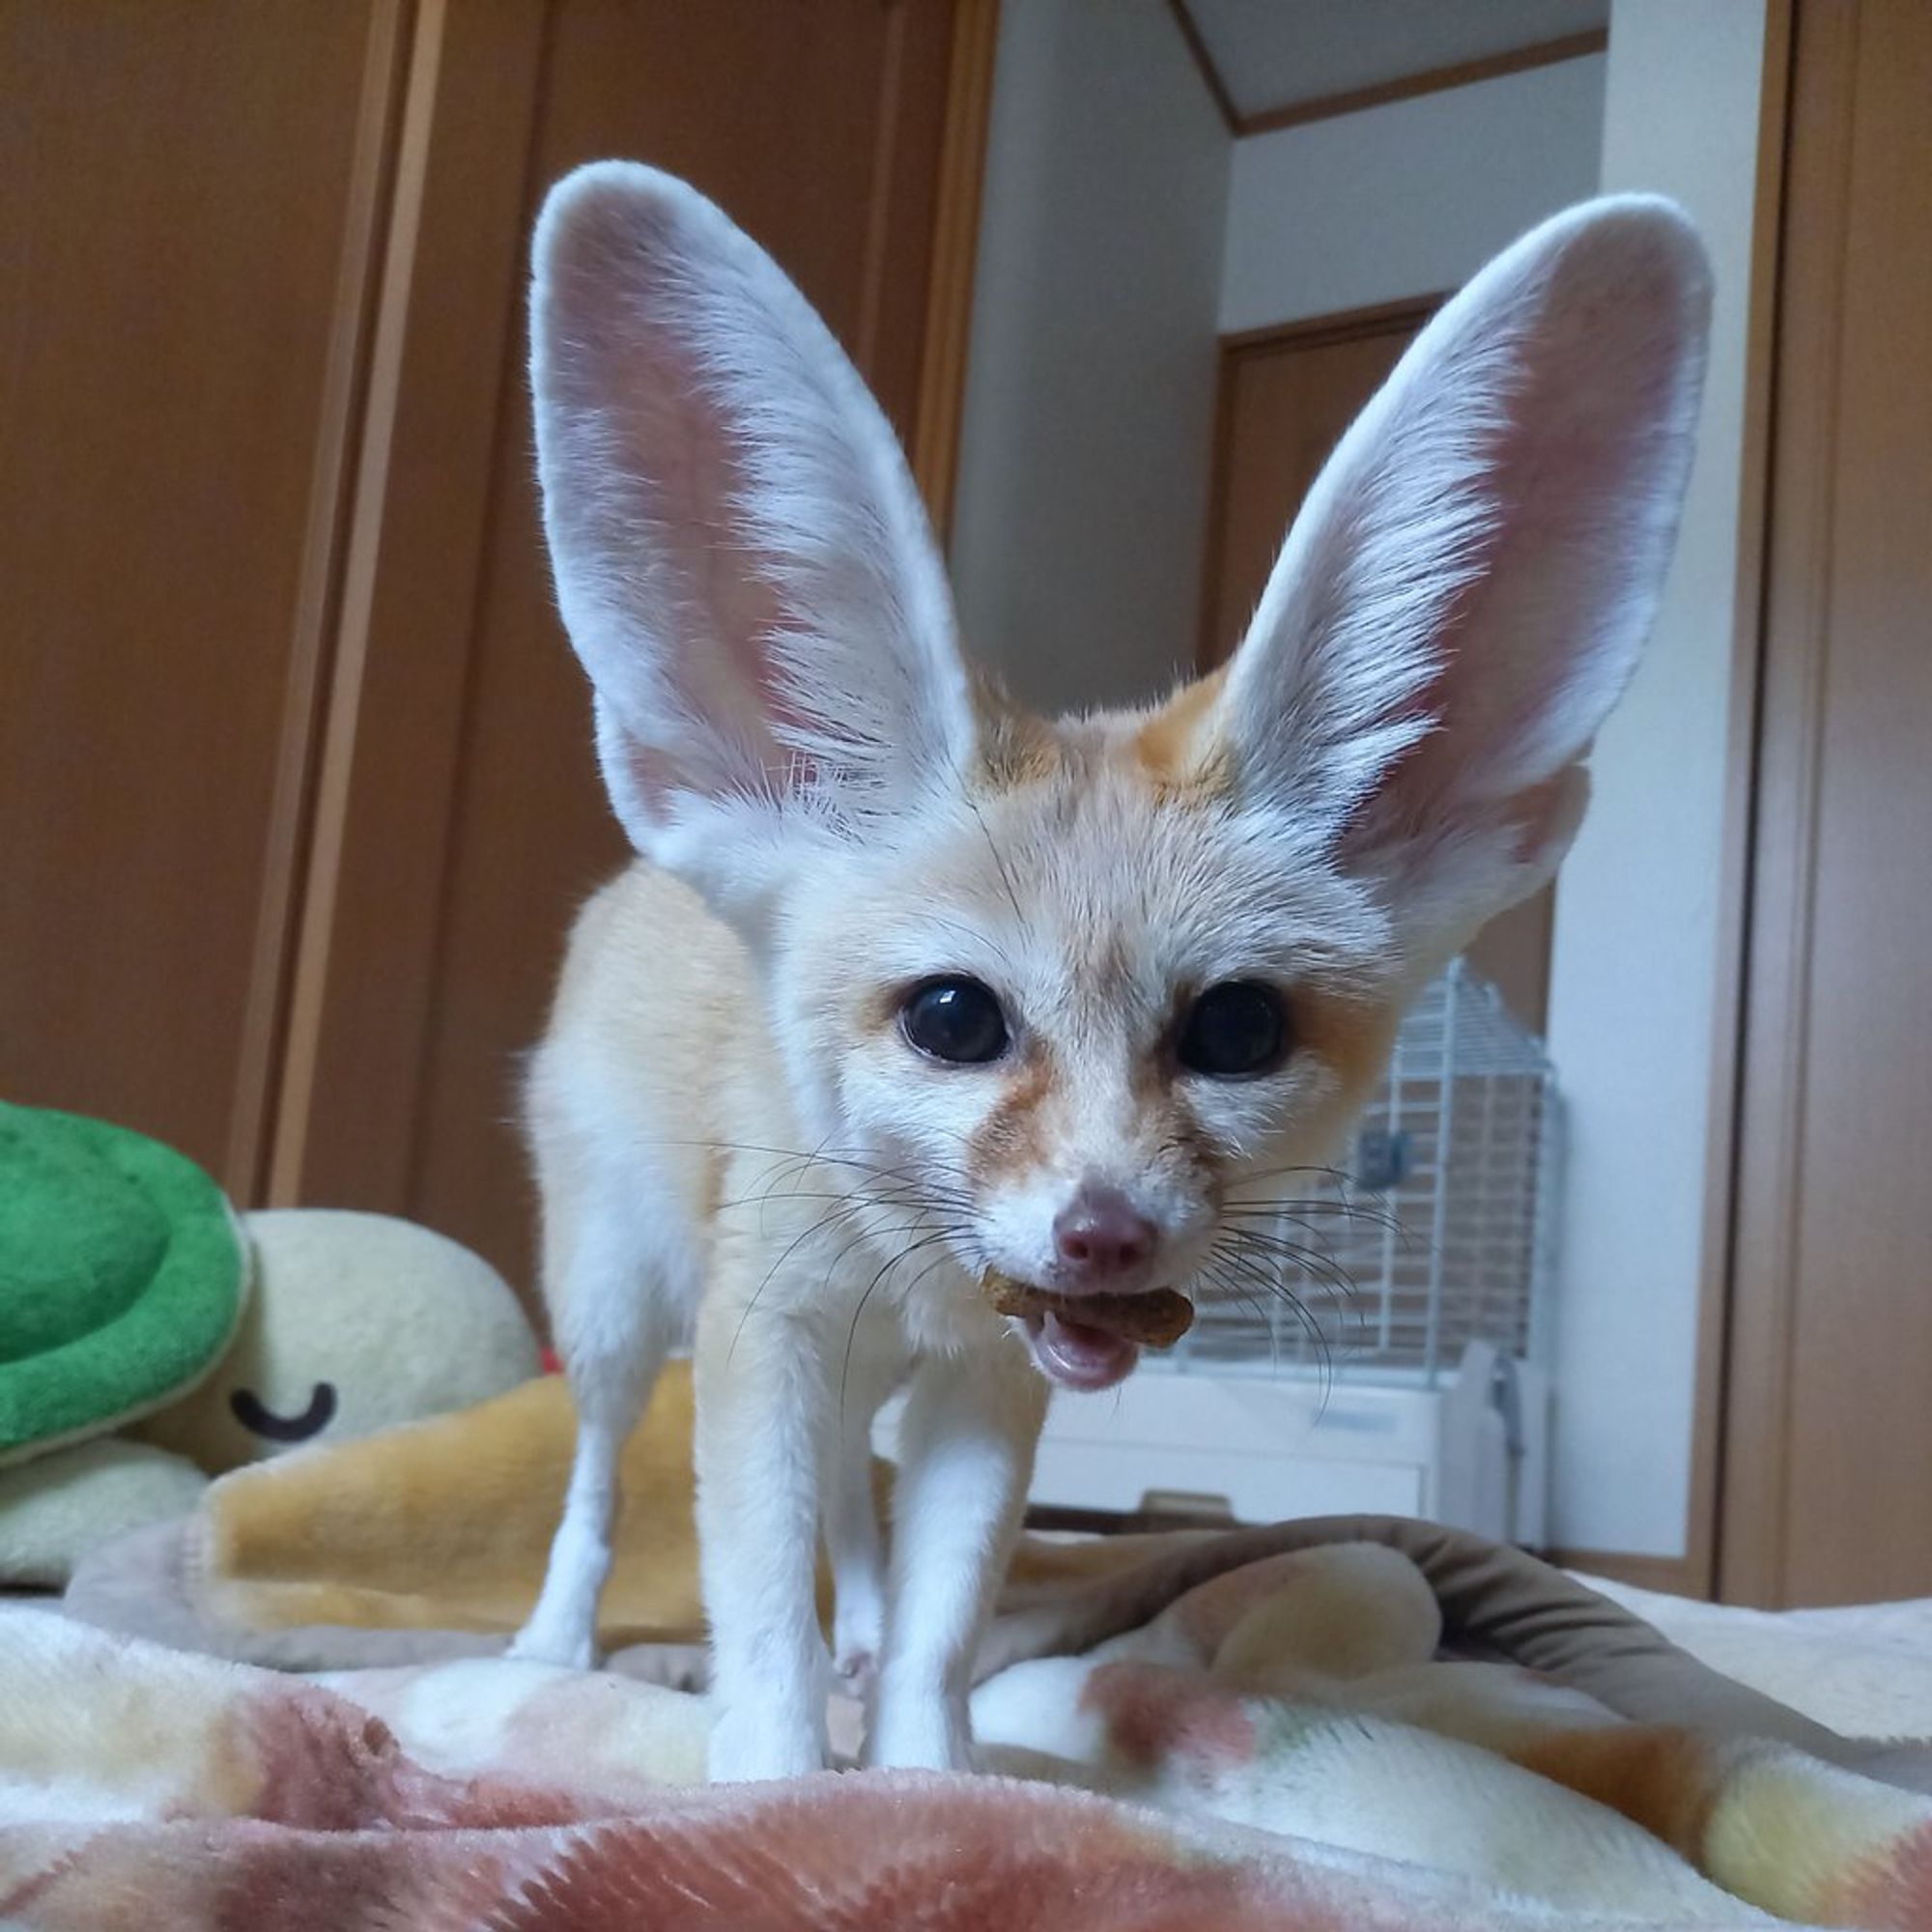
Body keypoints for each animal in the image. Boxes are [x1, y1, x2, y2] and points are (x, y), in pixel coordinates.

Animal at [510, 166, 1708, 1777]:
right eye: (955, 1018)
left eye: (1238, 1030)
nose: (1106, 1236)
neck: (926, 1280)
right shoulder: (770, 1329)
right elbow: (762, 1611)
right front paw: (773, 1782)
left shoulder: (993, 1376)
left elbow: (942, 1614)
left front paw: (928, 1774)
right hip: (619, 1303)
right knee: (593, 1472)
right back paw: (549, 1643)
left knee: (857, 1504)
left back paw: (855, 1621)